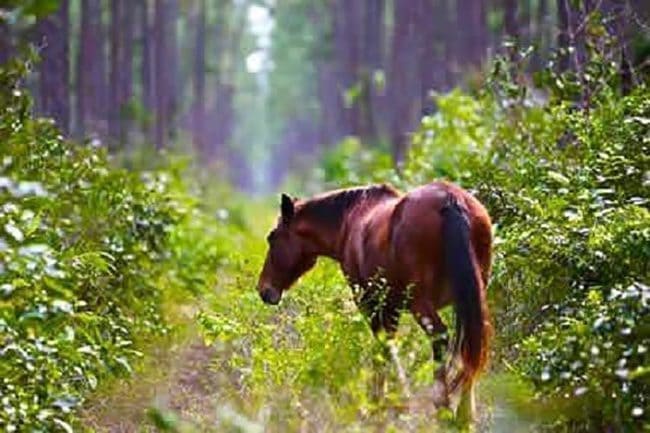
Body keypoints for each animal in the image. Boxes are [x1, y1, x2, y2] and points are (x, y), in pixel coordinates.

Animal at [253, 180, 492, 418]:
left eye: (272, 237)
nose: (264, 289)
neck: (349, 220)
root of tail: (451, 200)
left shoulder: (370, 303)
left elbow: (383, 348)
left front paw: (380, 402)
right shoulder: (392, 308)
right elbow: (389, 346)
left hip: (421, 304)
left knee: (440, 337)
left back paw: (444, 407)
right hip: (472, 298)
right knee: (471, 347)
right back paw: (465, 415)